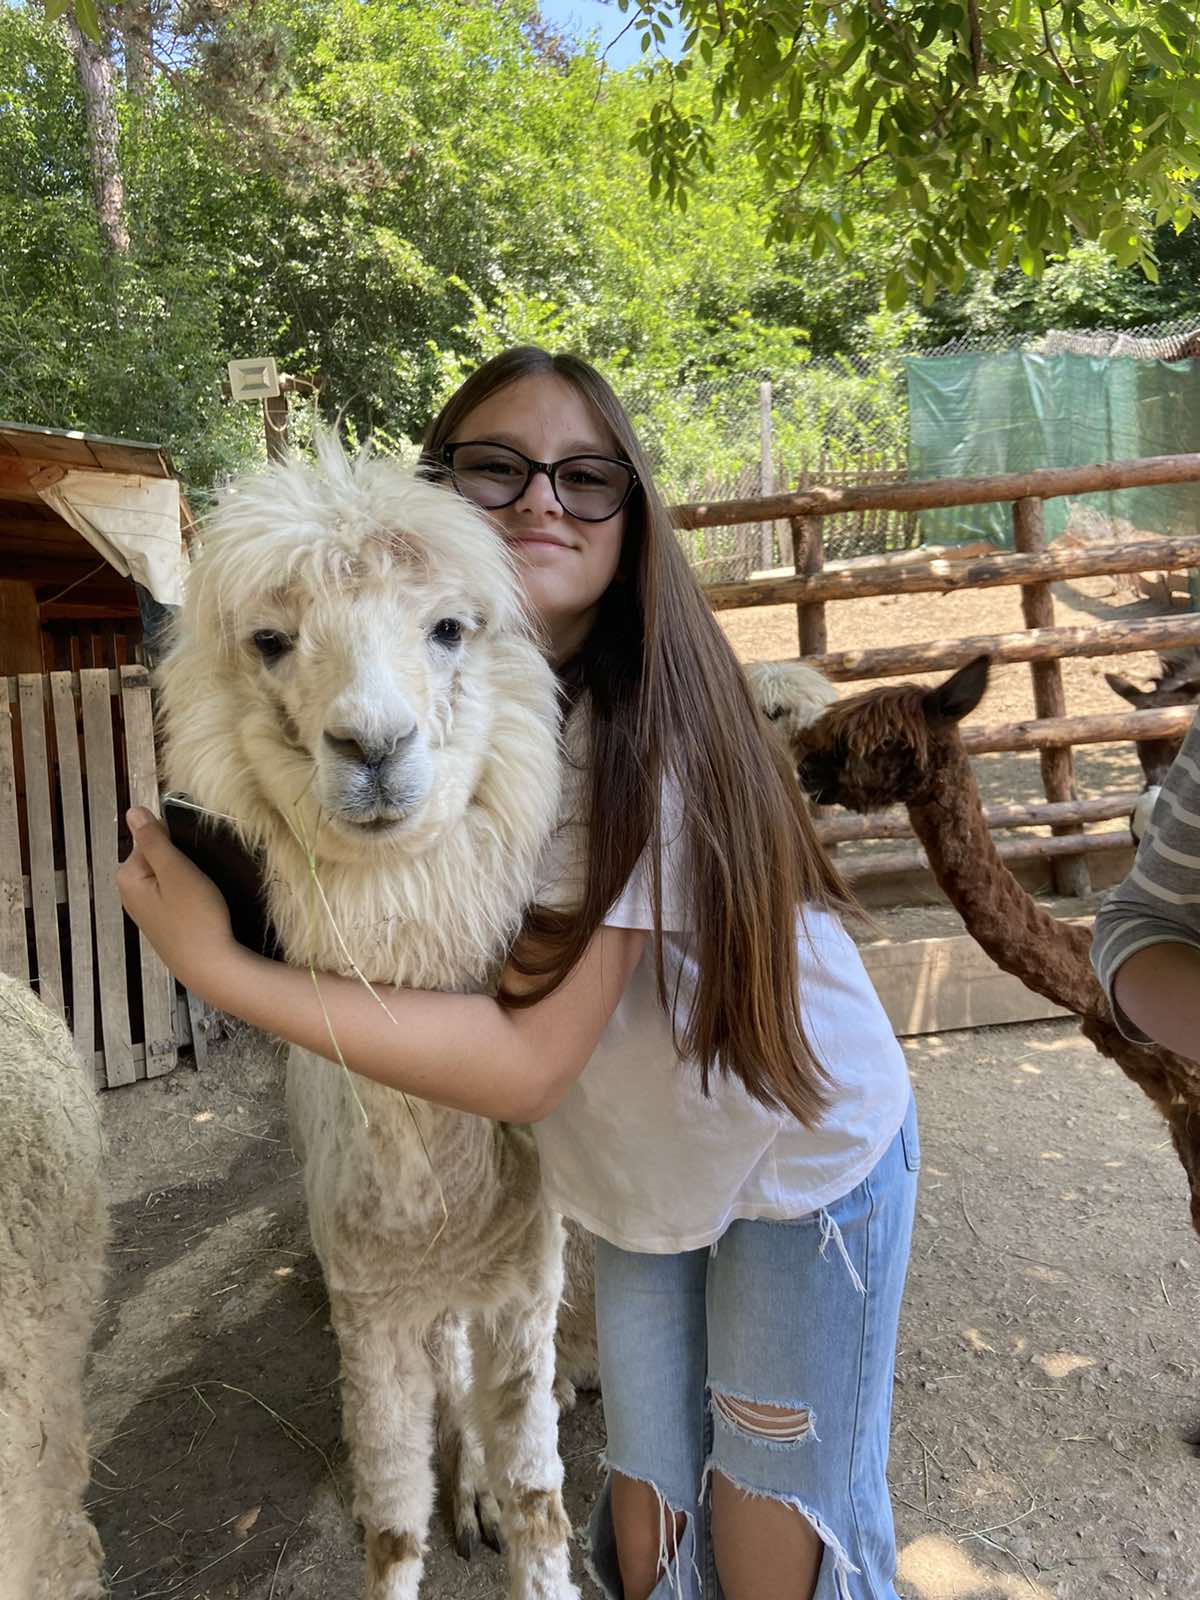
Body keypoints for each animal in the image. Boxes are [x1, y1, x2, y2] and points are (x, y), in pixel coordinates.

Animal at [156, 437, 582, 1599]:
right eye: (270, 640)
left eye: (448, 628)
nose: (375, 744)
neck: (438, 1213)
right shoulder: (371, 1309)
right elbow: (391, 1526)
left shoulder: (522, 1288)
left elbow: (543, 1502)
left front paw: (507, 1507)